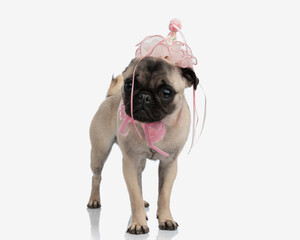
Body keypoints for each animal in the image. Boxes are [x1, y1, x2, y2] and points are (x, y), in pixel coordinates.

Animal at [87, 56, 199, 234]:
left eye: (167, 93)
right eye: (129, 85)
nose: (144, 96)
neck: (153, 125)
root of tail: (110, 97)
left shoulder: (169, 164)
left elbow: (164, 194)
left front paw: (166, 219)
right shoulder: (130, 163)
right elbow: (134, 196)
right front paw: (138, 223)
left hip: (141, 163)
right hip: (99, 152)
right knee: (96, 177)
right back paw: (94, 200)